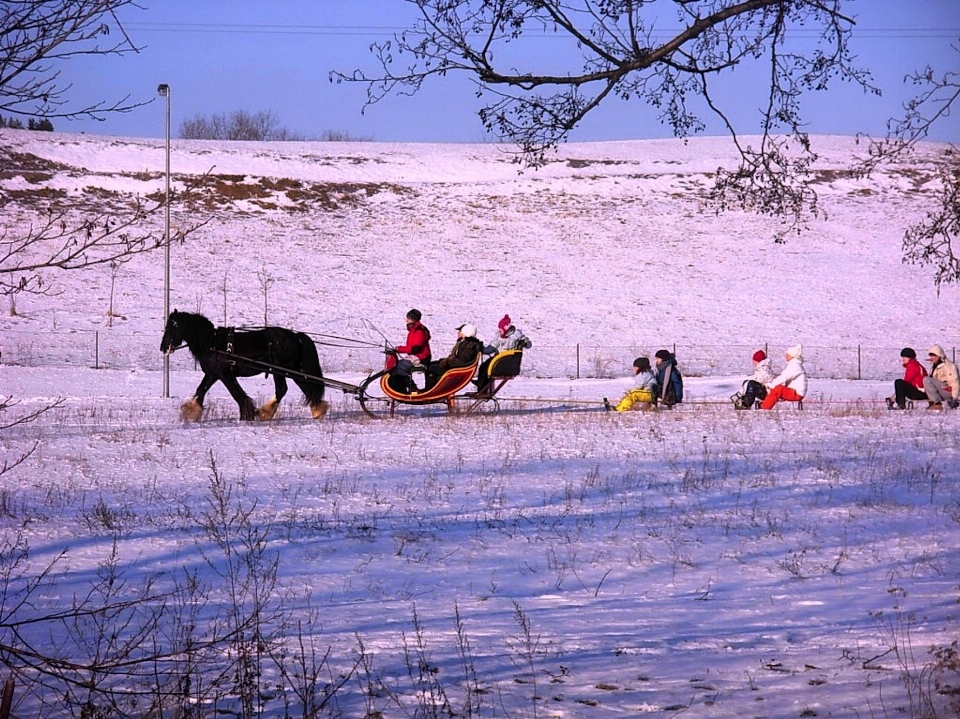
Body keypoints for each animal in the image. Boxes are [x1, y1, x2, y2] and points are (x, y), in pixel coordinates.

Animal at [159, 310, 328, 422]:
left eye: (172, 326)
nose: (163, 347)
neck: (212, 343)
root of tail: (296, 336)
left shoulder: (225, 374)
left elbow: (237, 394)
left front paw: (247, 414)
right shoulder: (212, 374)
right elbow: (200, 391)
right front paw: (190, 412)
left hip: (280, 370)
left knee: (283, 389)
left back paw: (265, 413)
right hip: (291, 370)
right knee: (307, 387)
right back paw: (317, 411)